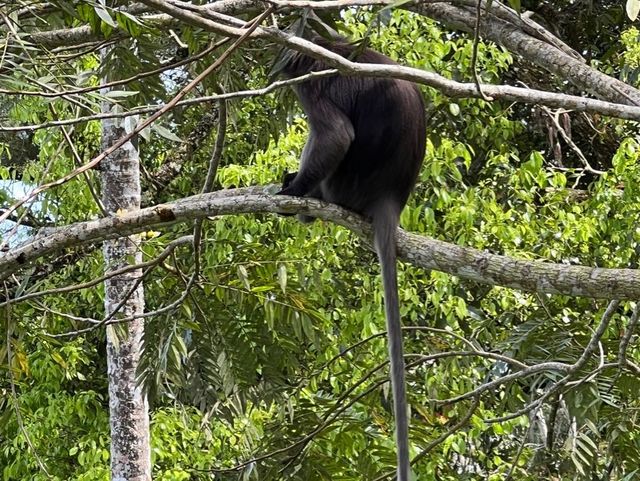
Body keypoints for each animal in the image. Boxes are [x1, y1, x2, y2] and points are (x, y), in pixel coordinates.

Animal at [274, 37, 424, 480]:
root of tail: (390, 199)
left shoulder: (313, 84)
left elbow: (336, 138)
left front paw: (293, 191)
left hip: (341, 188)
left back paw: (305, 201)